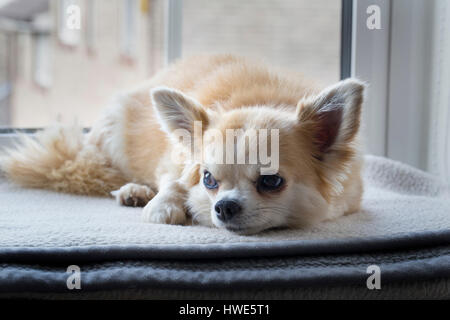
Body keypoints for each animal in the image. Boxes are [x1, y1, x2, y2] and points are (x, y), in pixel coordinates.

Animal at [0, 54, 366, 235]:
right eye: (208, 179)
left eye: (271, 181)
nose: (224, 206)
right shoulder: (172, 162)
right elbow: (174, 181)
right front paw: (164, 205)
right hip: (113, 137)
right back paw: (135, 190)